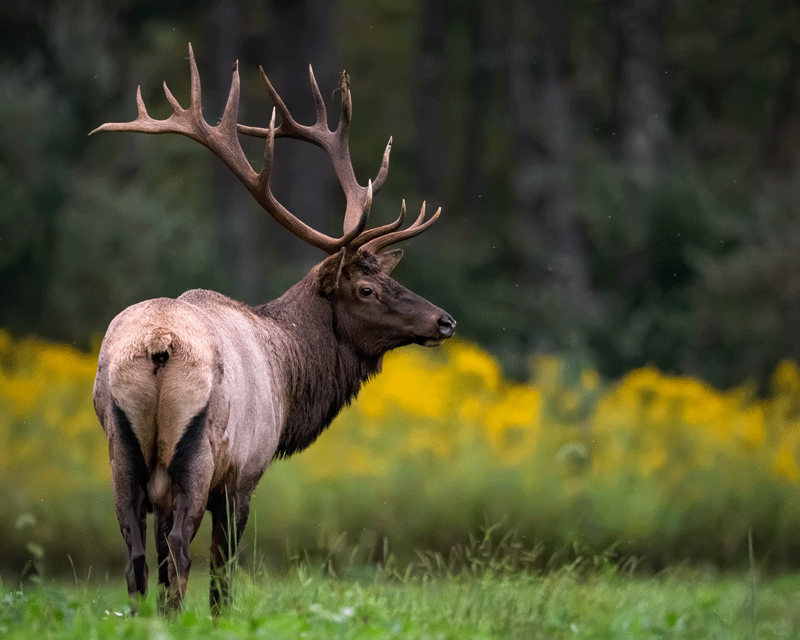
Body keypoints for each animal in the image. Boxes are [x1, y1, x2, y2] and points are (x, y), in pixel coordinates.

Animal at [90, 46, 454, 616]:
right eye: (366, 289)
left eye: (389, 276)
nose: (444, 320)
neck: (288, 375)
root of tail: (158, 343)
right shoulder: (245, 472)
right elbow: (224, 573)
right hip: (199, 458)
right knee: (183, 552)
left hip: (119, 454)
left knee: (137, 557)